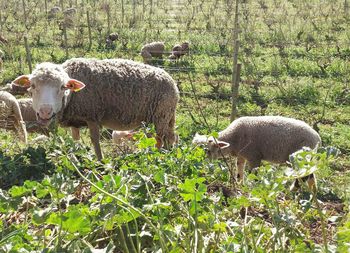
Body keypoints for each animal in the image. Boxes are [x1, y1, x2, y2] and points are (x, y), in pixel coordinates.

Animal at [12, 58, 179, 159]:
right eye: (33, 86)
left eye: (62, 87)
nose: (45, 111)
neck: (72, 95)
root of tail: (173, 83)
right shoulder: (75, 120)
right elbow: (75, 139)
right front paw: (76, 154)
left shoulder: (92, 116)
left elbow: (95, 140)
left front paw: (100, 161)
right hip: (164, 116)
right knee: (171, 136)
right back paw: (168, 152)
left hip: (161, 115)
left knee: (160, 138)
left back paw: (158, 155)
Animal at [193, 115, 322, 191]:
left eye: (207, 150)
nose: (197, 165)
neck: (232, 139)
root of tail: (317, 138)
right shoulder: (242, 155)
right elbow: (239, 171)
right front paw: (239, 184)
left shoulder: (254, 156)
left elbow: (253, 175)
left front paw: (252, 188)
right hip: (308, 158)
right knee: (310, 174)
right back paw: (313, 192)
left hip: (299, 156)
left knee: (303, 175)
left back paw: (292, 190)